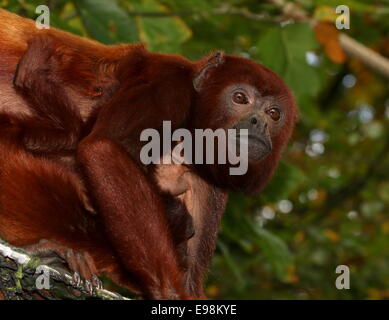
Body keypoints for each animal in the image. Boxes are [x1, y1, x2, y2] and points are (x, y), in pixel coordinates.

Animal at [0, 10, 298, 300]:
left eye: (273, 113)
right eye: (239, 98)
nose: (258, 123)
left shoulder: (209, 182)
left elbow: (190, 276)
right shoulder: (167, 83)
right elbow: (103, 149)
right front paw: (168, 292)